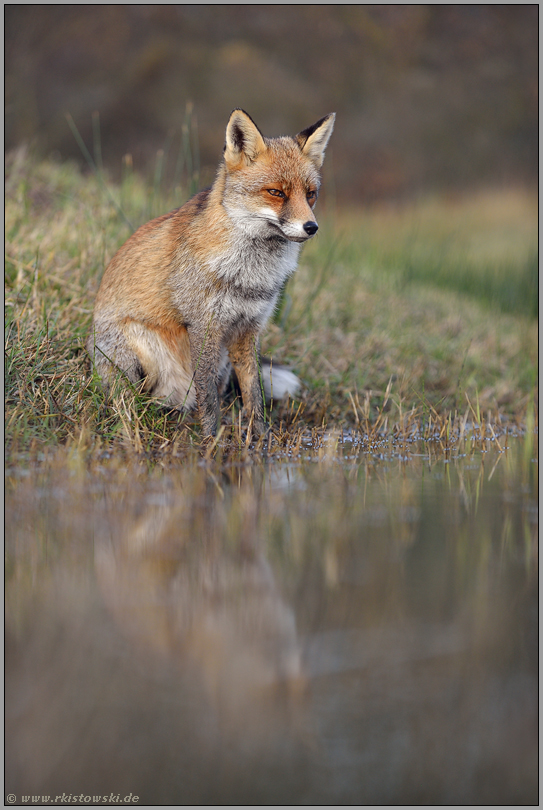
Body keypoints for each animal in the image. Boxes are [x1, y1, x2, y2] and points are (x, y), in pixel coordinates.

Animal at [87, 109, 336, 436]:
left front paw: (260, 439)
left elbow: (253, 394)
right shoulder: (204, 327)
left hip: (222, 359)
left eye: (310, 195)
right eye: (276, 193)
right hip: (137, 350)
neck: (250, 275)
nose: (312, 227)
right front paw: (211, 441)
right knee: (144, 396)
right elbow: (208, 401)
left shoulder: (247, 329)